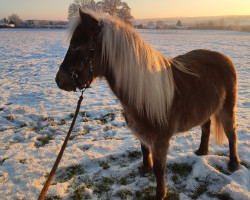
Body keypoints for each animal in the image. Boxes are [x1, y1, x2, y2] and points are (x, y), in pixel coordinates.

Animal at [55, 9, 240, 200]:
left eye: (76, 46)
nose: (59, 80)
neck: (143, 91)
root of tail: (224, 57)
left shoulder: (160, 140)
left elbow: (159, 169)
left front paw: (160, 194)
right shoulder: (141, 131)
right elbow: (144, 151)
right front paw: (145, 169)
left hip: (227, 108)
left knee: (231, 134)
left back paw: (233, 163)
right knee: (206, 125)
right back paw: (202, 151)